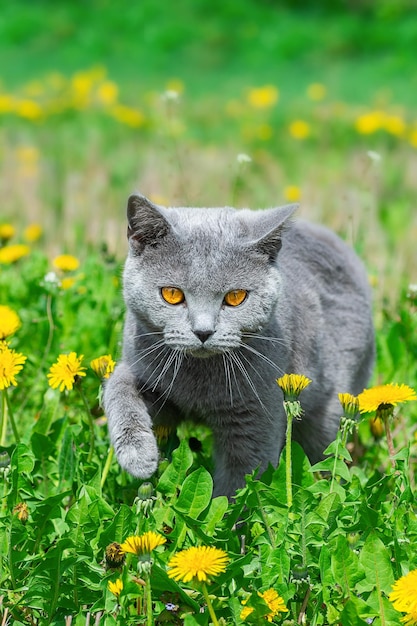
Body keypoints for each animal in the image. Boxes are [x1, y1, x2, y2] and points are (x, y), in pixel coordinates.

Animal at [104, 193, 374, 494]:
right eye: (172, 294)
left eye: (236, 297)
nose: (203, 331)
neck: (197, 384)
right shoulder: (144, 367)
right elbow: (118, 387)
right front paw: (138, 457)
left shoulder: (254, 416)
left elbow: (242, 478)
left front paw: (228, 507)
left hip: (332, 407)